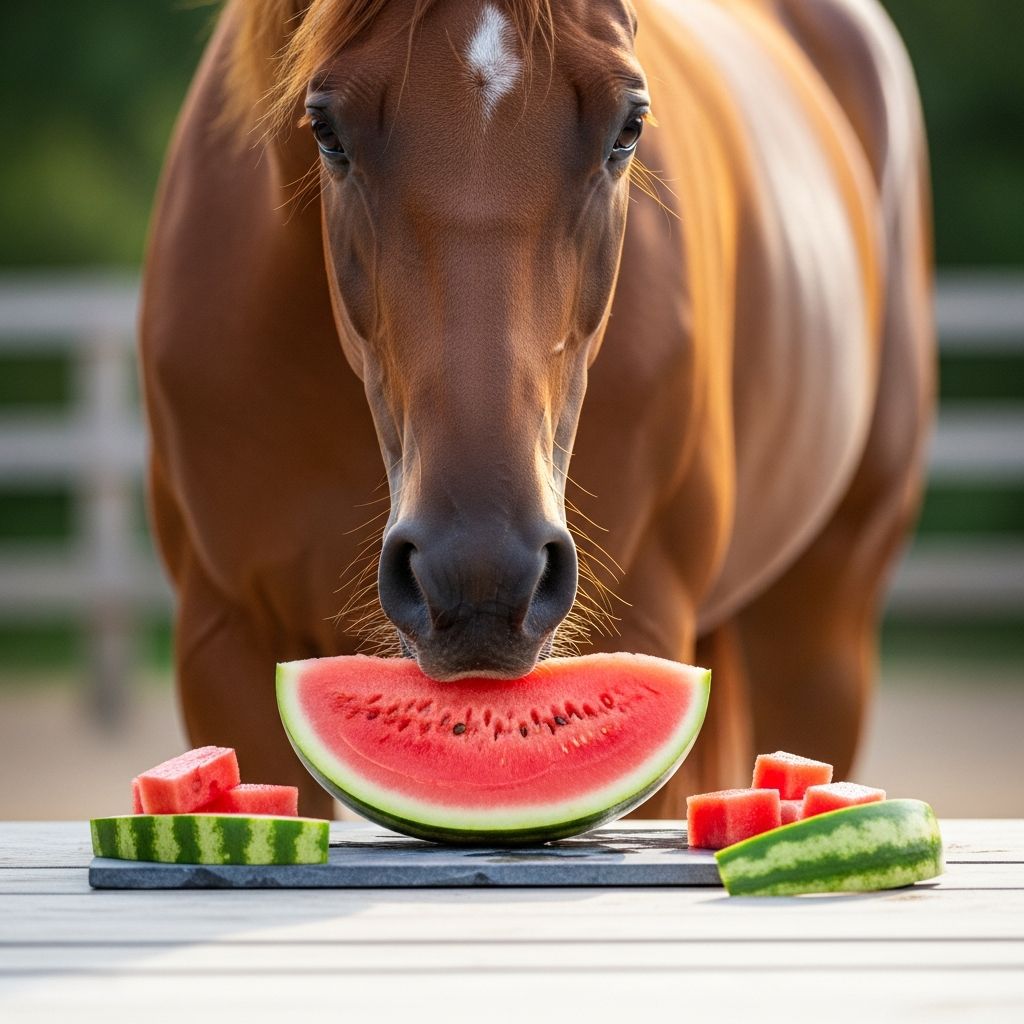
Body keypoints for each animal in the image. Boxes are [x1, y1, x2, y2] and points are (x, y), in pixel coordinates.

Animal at [140, 0, 934, 818]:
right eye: (325, 128)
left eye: (629, 126)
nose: (479, 579)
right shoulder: (224, 638)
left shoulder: (647, 622)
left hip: (823, 630)